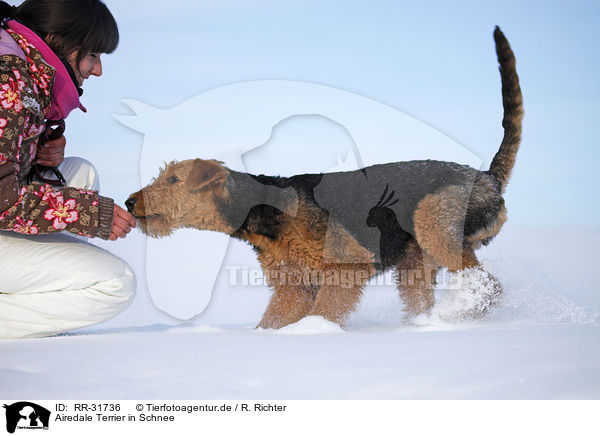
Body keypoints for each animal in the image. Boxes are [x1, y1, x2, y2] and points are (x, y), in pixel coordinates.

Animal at [125, 26, 520, 328]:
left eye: (174, 180)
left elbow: (325, 312)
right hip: (414, 262)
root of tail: (489, 177)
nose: (129, 202)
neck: (263, 211)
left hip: (435, 222)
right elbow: (273, 321)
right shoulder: (293, 285)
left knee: (489, 285)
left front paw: (316, 334)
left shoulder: (346, 265)